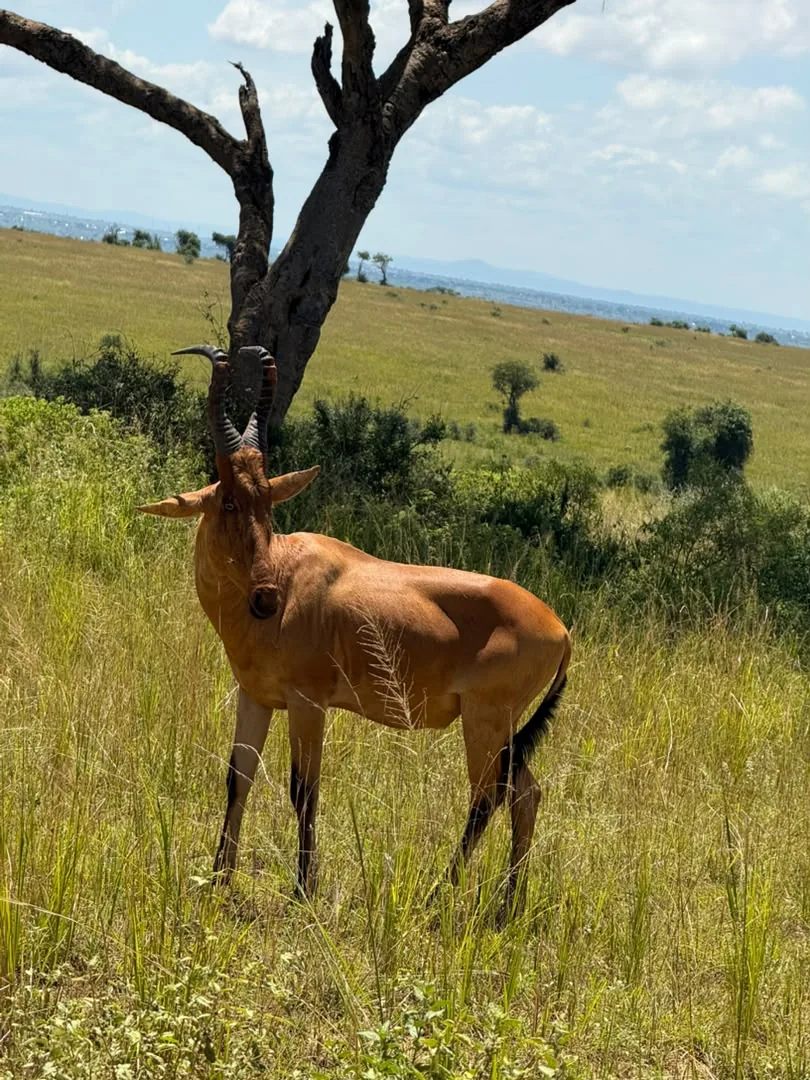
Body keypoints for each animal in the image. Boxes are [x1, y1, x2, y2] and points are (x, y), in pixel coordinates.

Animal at [139, 345, 571, 914]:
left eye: (267, 500)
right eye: (229, 499)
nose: (265, 599)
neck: (288, 571)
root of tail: (561, 629)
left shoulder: (308, 703)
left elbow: (303, 789)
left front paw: (303, 890)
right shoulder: (255, 697)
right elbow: (238, 776)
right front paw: (219, 877)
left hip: (485, 720)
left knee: (488, 797)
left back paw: (437, 896)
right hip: (505, 729)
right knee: (526, 794)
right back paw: (506, 907)